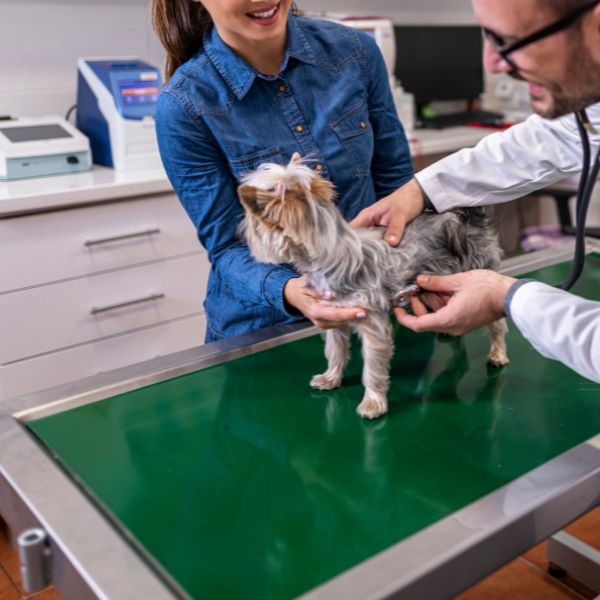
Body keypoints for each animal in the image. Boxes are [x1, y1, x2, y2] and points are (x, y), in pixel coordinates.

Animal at [237, 152, 508, 420]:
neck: (333, 256)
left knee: (497, 324)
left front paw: (373, 403)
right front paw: (331, 378)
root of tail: (467, 218)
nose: (245, 237)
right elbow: (335, 351)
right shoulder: (334, 316)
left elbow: (373, 368)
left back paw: (497, 354)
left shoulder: (373, 326)